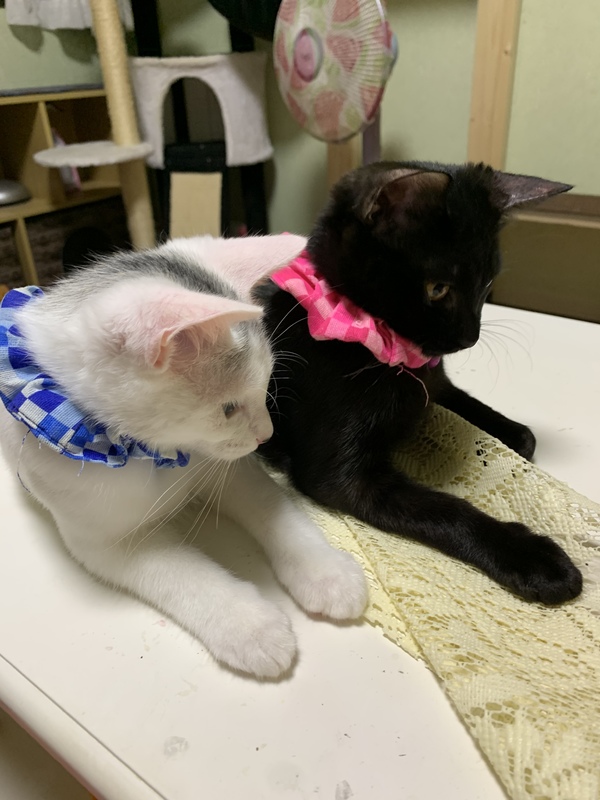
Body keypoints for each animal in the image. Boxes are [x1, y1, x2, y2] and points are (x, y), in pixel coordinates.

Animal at [0, 234, 368, 679]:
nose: (266, 435)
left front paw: (325, 570)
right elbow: (184, 575)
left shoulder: (231, 470)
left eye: (266, 384)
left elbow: (275, 510)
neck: (149, 453)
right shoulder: (104, 542)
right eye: (228, 409)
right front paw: (249, 626)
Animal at [256, 161, 583, 605]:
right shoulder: (342, 479)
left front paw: (512, 432)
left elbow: (479, 410)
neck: (381, 349)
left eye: (486, 284)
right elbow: (446, 509)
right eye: (437, 288)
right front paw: (533, 558)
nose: (469, 337)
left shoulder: (434, 381)